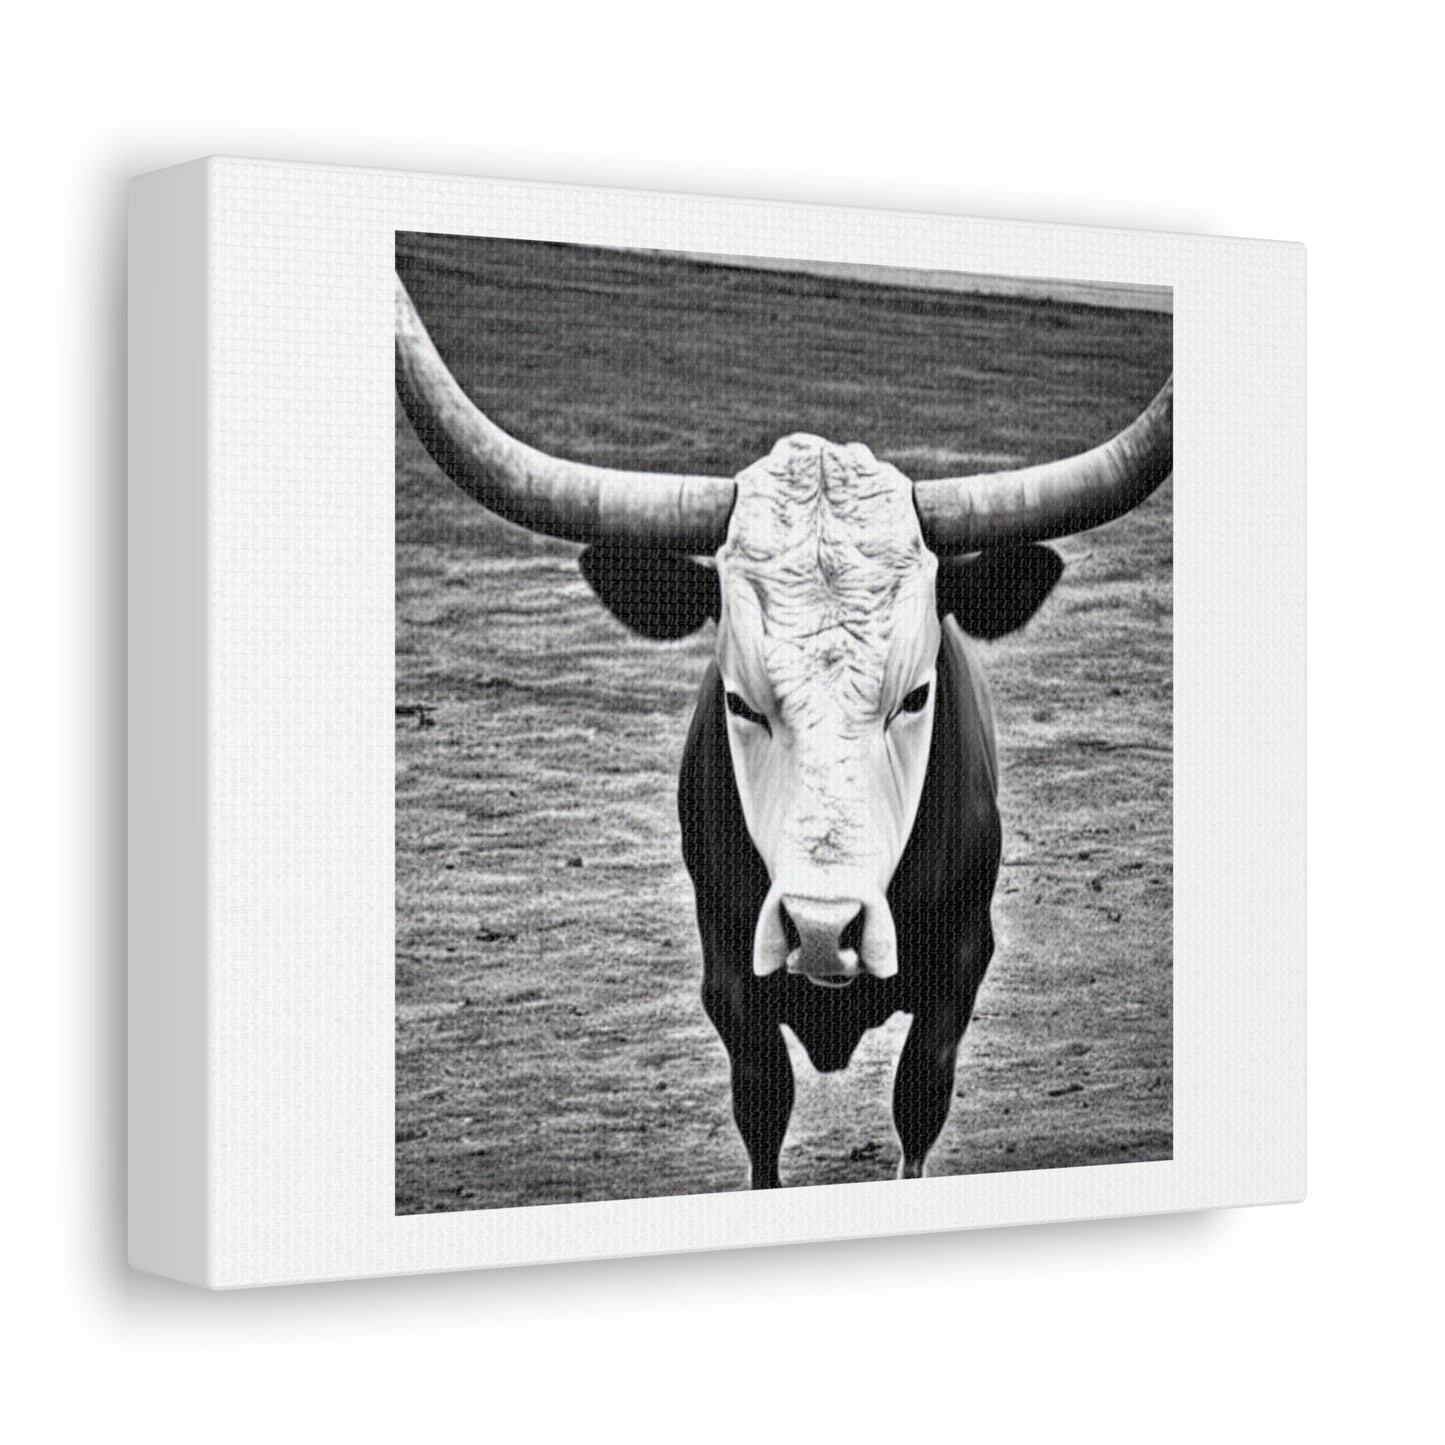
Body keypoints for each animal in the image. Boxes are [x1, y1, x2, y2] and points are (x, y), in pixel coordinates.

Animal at [394, 273, 1173, 1188]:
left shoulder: (958, 970)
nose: (823, 930)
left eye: (915, 695)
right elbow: (761, 1105)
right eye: (741, 701)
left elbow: (918, 1101)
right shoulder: (729, 978)